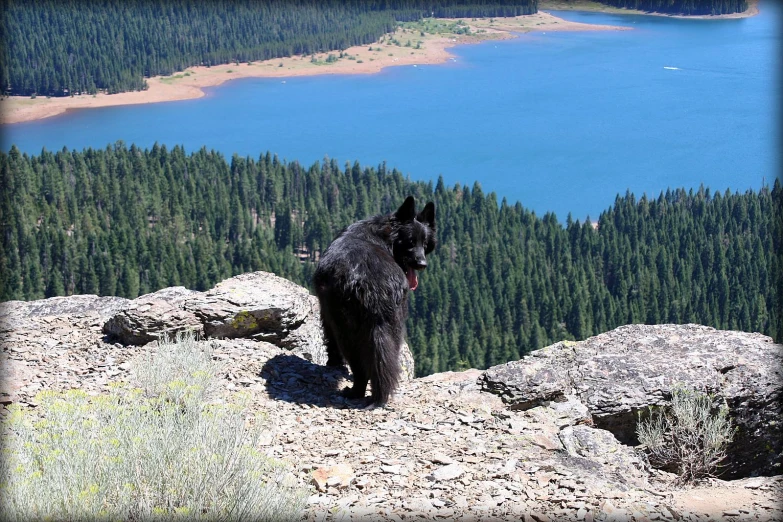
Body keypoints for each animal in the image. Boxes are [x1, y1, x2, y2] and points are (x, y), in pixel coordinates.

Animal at [312, 197, 434, 404]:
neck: (383, 235)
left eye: (425, 244)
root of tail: (374, 285)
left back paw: (355, 392)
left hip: (347, 329)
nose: (422, 264)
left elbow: (330, 342)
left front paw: (333, 364)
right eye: (410, 242)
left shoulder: (327, 313)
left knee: (359, 367)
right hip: (393, 327)